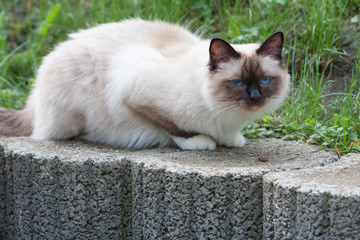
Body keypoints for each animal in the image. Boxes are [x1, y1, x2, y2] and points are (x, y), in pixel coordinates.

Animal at [0, 18, 290, 149]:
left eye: (265, 80)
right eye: (238, 83)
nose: (255, 98)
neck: (229, 116)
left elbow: (230, 137)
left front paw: (232, 141)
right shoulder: (134, 92)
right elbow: (173, 127)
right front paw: (201, 141)